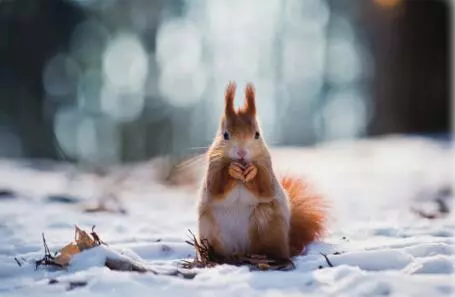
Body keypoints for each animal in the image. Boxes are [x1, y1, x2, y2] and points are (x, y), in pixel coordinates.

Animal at [196, 81, 328, 260]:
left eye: (257, 134)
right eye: (225, 135)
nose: (242, 153)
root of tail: (241, 251)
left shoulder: (267, 167)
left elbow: (265, 187)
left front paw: (252, 171)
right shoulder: (213, 167)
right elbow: (216, 186)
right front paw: (232, 170)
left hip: (267, 226)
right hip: (209, 230)